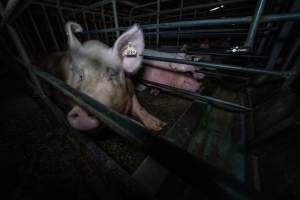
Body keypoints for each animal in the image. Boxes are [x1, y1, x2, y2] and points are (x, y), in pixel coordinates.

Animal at [40, 21, 168, 131]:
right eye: (80, 76)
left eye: (112, 74)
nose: (81, 111)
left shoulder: (130, 89)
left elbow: (139, 107)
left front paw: (159, 126)